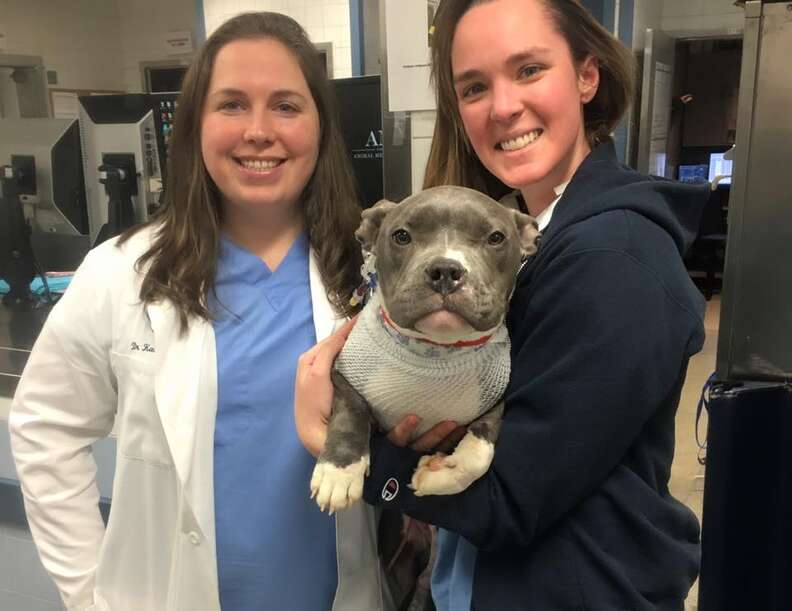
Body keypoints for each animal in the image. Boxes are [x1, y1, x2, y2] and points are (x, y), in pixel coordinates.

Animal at [310, 185, 540, 512]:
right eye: (401, 236)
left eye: (496, 238)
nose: (445, 269)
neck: (436, 350)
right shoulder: (342, 374)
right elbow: (350, 412)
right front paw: (338, 471)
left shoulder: (497, 399)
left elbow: (481, 452)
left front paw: (442, 474)